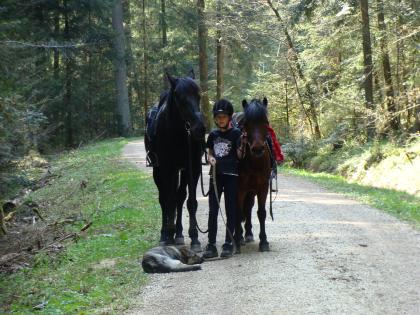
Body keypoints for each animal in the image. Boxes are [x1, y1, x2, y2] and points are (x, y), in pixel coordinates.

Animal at [145, 71, 206, 252]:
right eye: (179, 96)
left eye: (199, 95)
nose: (199, 129)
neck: (178, 133)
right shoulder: (166, 169)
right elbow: (168, 200)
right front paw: (167, 235)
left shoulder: (192, 168)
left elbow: (189, 202)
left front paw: (194, 238)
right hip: (158, 172)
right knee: (164, 198)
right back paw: (166, 233)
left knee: (179, 197)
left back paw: (178, 233)